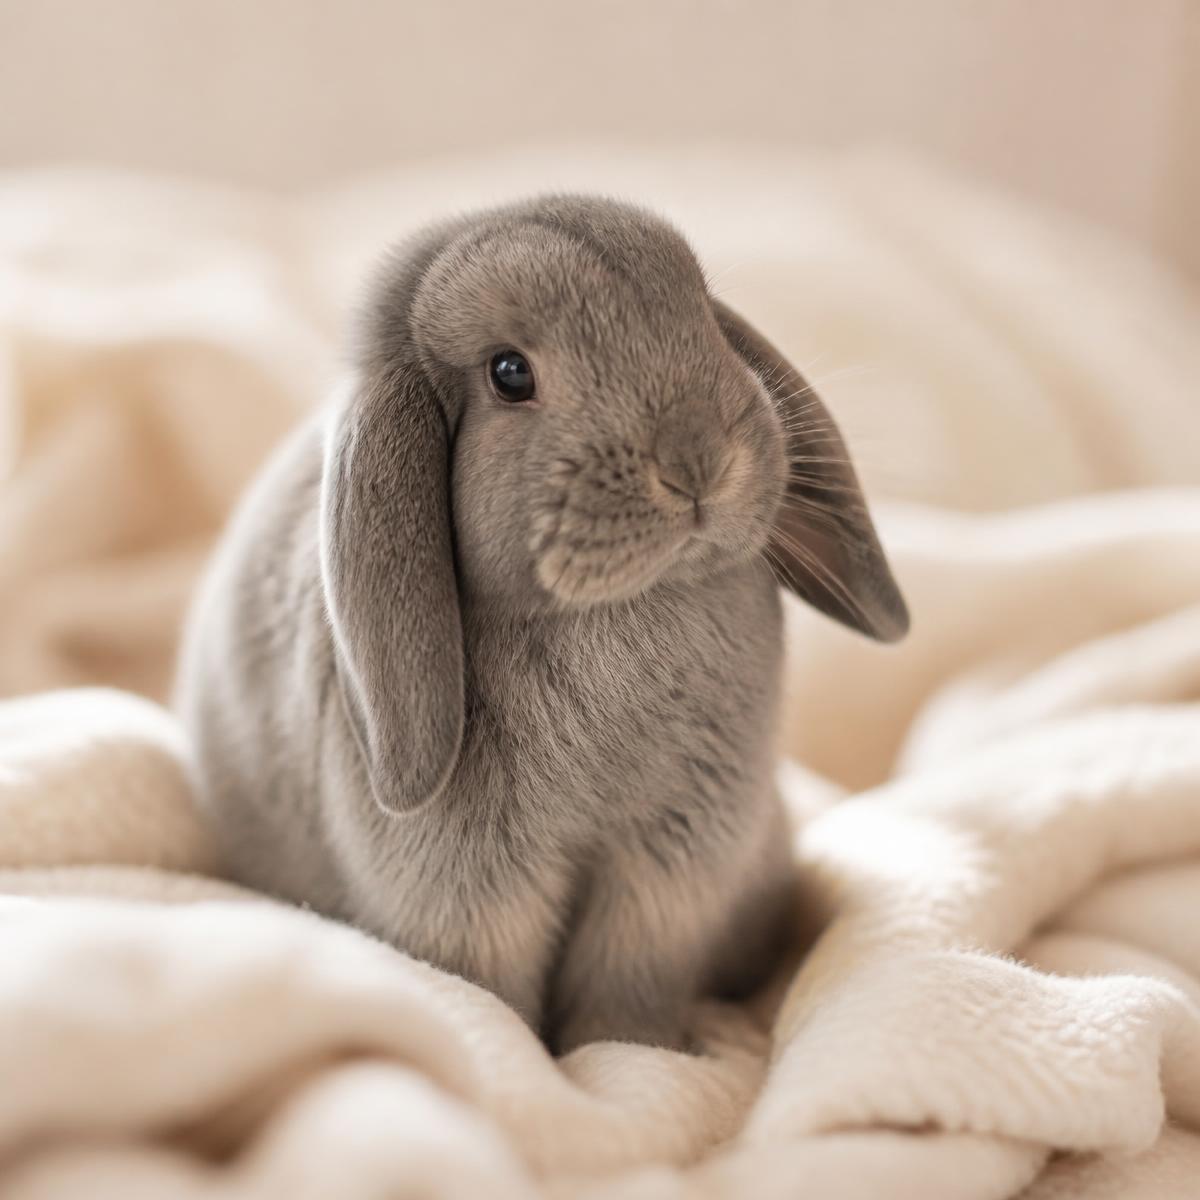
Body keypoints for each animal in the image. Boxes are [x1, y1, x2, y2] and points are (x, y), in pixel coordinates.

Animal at [174, 194, 908, 1054]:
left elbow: (627, 984)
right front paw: (531, 1061)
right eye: (509, 373)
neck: (617, 611)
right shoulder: (470, 887)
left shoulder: (673, 863)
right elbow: (494, 990)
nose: (697, 461)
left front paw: (638, 1054)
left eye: (701, 313)